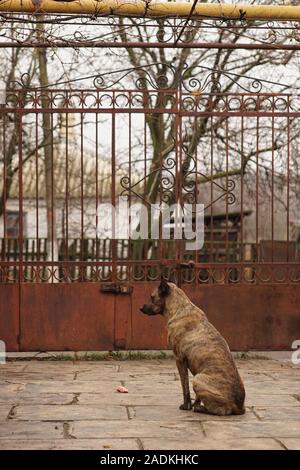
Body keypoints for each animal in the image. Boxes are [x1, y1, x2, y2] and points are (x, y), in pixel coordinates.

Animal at [139, 280, 245, 414]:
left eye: (152, 297)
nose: (140, 308)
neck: (180, 307)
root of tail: (239, 406)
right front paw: (193, 403)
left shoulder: (179, 359)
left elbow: (185, 387)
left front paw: (186, 406)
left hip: (198, 379)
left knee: (219, 410)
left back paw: (200, 409)